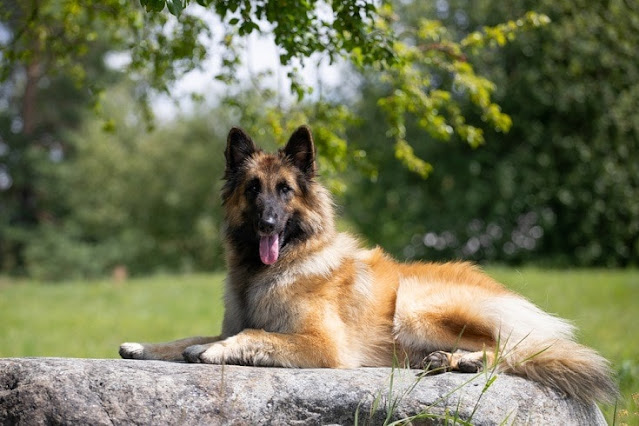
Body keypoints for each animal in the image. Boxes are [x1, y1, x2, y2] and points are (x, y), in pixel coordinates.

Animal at [119, 125, 616, 404]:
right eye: (253, 189)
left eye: (285, 191)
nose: (266, 224)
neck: (274, 270)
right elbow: (190, 337)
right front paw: (145, 347)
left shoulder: (322, 345)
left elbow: (254, 336)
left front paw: (212, 353)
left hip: (414, 305)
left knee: (508, 351)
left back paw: (460, 362)